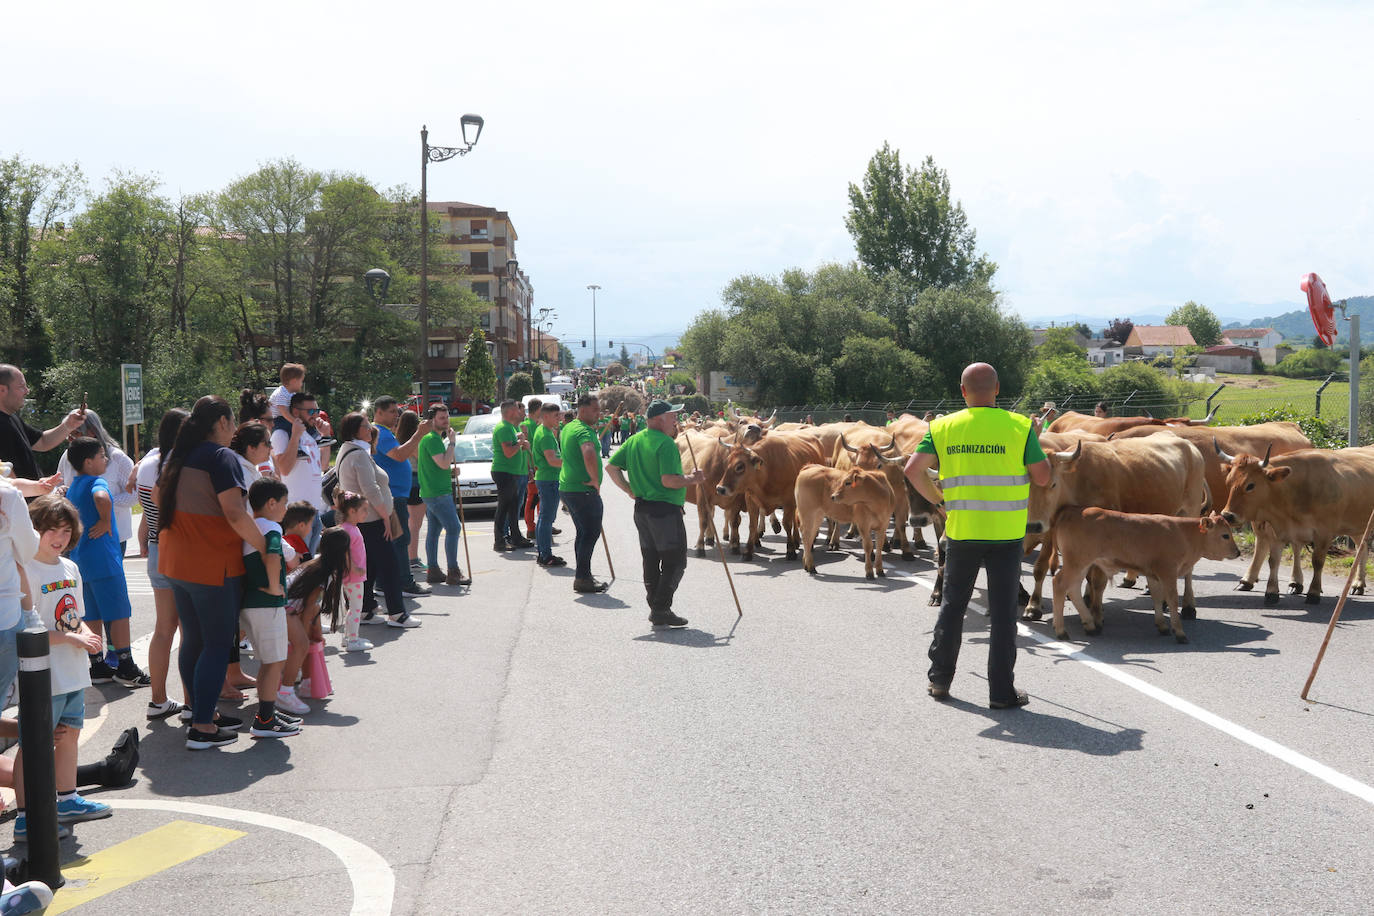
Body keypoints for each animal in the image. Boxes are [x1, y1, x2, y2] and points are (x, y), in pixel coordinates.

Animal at [1049, 508, 1247, 645]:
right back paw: (1061, 631)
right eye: (1225, 535)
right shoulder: (1168, 572)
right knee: (1059, 583)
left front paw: (1162, 626)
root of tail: (1070, 511)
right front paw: (1180, 632)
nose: (1237, 552)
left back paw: (1090, 625)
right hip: (1076, 562)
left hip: (1082, 564)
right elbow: (1172, 599)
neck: (1183, 533)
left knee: (1073, 589)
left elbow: (1157, 598)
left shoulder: (1153, 574)